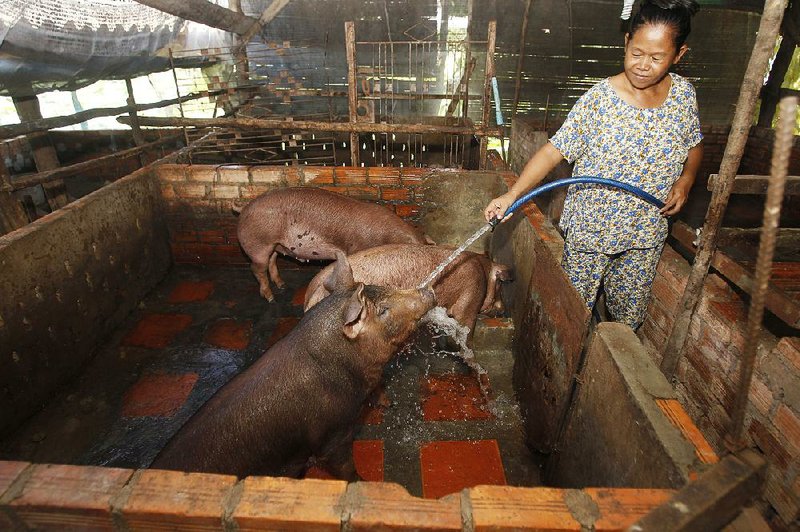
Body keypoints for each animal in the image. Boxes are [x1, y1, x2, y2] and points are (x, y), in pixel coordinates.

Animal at [150, 251, 438, 480]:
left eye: (381, 286)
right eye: (383, 311)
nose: (428, 290)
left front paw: (388, 404)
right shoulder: (331, 436)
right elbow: (343, 467)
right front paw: (363, 483)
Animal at [236, 187, 432, 302]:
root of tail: (244, 207)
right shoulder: (356, 248)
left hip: (274, 245)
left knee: (272, 260)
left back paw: (282, 286)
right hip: (258, 244)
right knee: (257, 268)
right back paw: (270, 297)